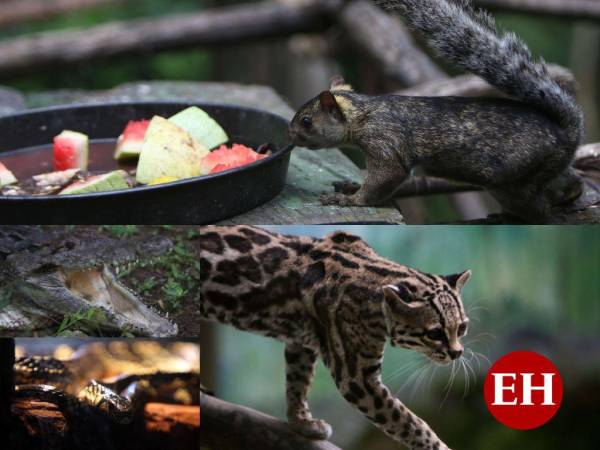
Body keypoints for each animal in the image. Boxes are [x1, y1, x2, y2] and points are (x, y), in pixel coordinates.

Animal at [199, 227, 472, 448]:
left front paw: (301, 421)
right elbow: (408, 420)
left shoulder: (304, 338)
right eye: (434, 333)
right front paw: (437, 446)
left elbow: (298, 378)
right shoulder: (357, 379)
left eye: (462, 328)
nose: (457, 352)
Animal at [288, 0, 584, 220]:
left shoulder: (383, 141)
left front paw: (349, 198)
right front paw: (352, 186)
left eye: (306, 121)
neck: (362, 113)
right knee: (571, 183)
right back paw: (571, 192)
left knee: (541, 211)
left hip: (514, 182)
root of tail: (566, 135)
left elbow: (386, 178)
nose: (289, 135)